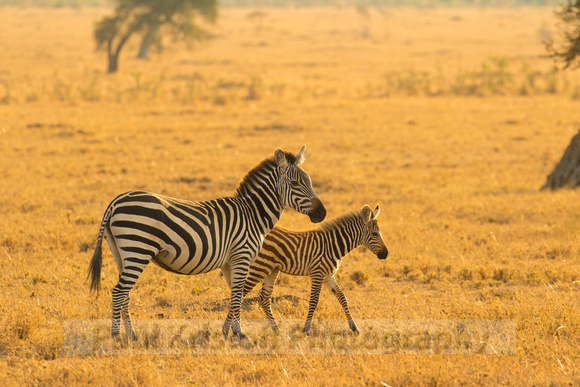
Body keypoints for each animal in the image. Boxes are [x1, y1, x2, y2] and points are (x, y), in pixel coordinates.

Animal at [89, 147, 326, 342]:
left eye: (309, 181)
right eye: (295, 184)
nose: (322, 213)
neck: (252, 213)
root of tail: (116, 201)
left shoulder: (231, 262)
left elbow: (235, 295)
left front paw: (228, 332)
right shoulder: (242, 256)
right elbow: (238, 295)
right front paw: (239, 334)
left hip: (122, 253)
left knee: (125, 293)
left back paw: (132, 335)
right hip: (138, 248)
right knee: (118, 292)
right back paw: (116, 336)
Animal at [242, 206, 388, 336]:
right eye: (375, 234)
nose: (386, 254)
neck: (332, 245)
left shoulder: (328, 275)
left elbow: (342, 297)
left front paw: (354, 328)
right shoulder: (318, 273)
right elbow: (314, 300)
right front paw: (306, 329)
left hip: (271, 269)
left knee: (264, 297)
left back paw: (276, 330)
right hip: (260, 267)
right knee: (242, 292)